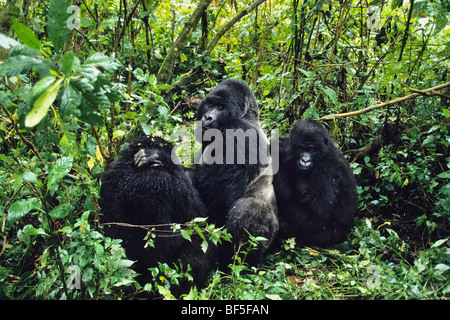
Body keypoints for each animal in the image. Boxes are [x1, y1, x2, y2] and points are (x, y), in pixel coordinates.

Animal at [192, 78, 278, 264]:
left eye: (221, 107)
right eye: (210, 104)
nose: (207, 117)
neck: (245, 116)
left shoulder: (237, 133)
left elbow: (216, 197)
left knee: (249, 209)